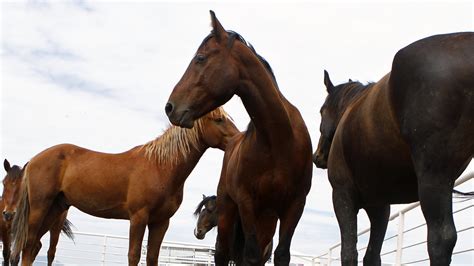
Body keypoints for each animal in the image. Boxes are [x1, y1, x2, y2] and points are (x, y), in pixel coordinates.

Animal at [11, 107, 239, 264]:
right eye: (219, 120)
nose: (238, 139)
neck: (161, 166)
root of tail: (34, 159)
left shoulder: (161, 222)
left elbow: (152, 257)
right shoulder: (138, 217)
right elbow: (134, 255)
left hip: (54, 209)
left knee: (33, 246)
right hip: (40, 208)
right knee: (28, 245)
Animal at [165, 10, 312, 266]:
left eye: (200, 58)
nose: (170, 107)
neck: (279, 138)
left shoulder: (295, 205)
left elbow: (281, 255)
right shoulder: (246, 202)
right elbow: (249, 255)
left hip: (267, 219)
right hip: (229, 210)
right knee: (223, 253)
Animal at [314, 31, 474, 266]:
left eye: (321, 110)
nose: (317, 157)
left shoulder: (342, 194)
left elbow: (349, 252)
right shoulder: (380, 206)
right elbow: (372, 255)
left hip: (434, 179)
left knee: (441, 239)